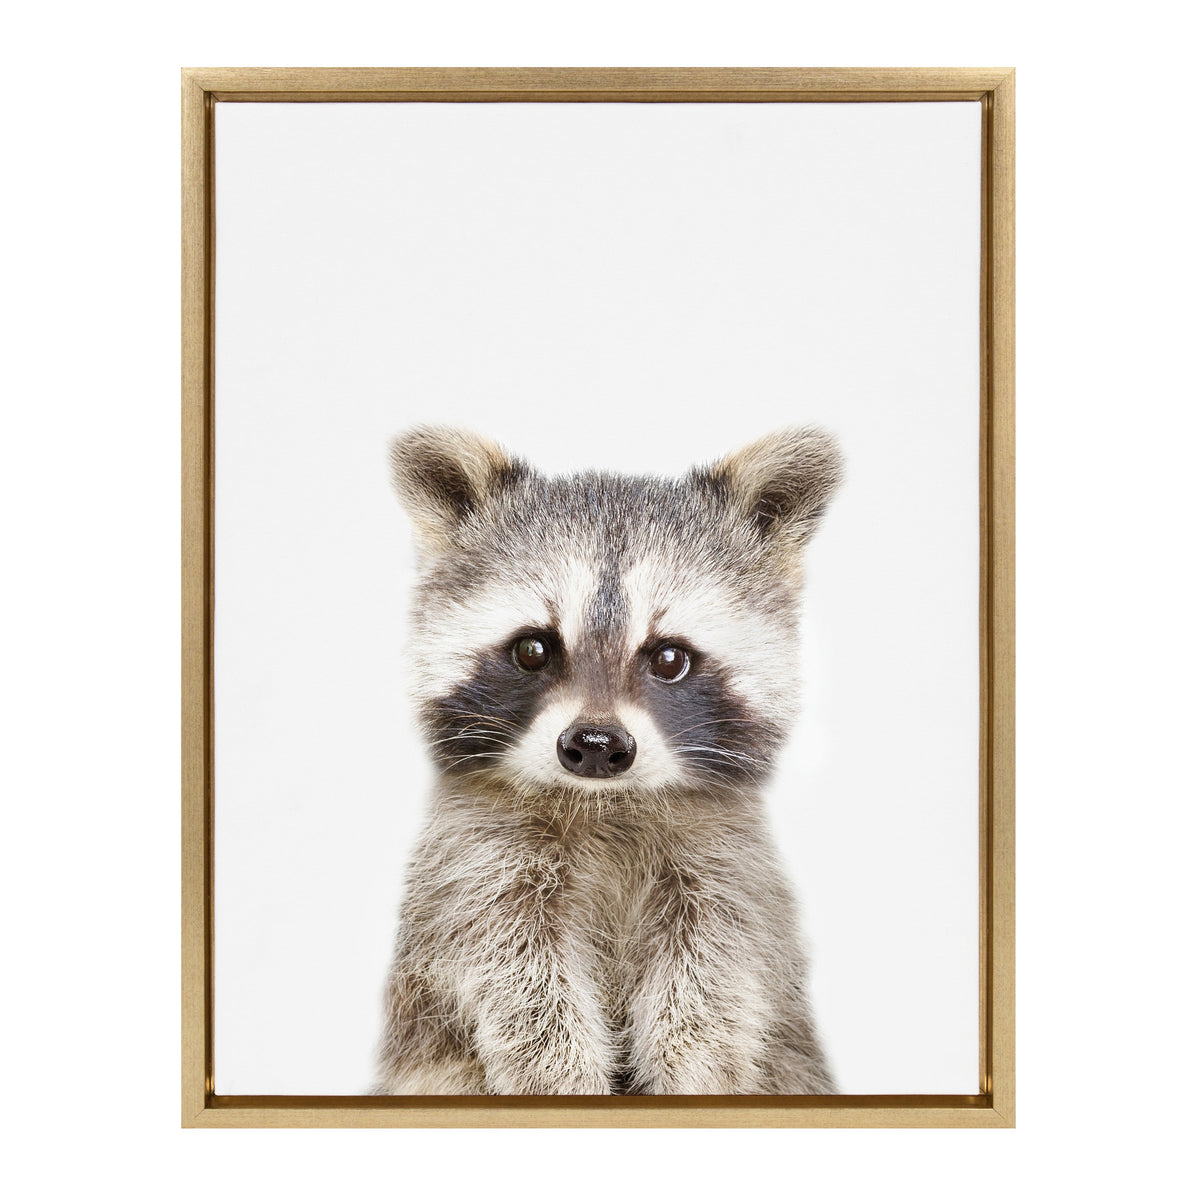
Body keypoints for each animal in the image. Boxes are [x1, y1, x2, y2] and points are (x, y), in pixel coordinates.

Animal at [374, 425, 842, 1096]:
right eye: (533, 648)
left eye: (669, 657)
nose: (595, 746)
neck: (605, 804)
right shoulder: (473, 863)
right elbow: (513, 973)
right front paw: (560, 1077)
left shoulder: (728, 867)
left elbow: (715, 977)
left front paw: (690, 1072)